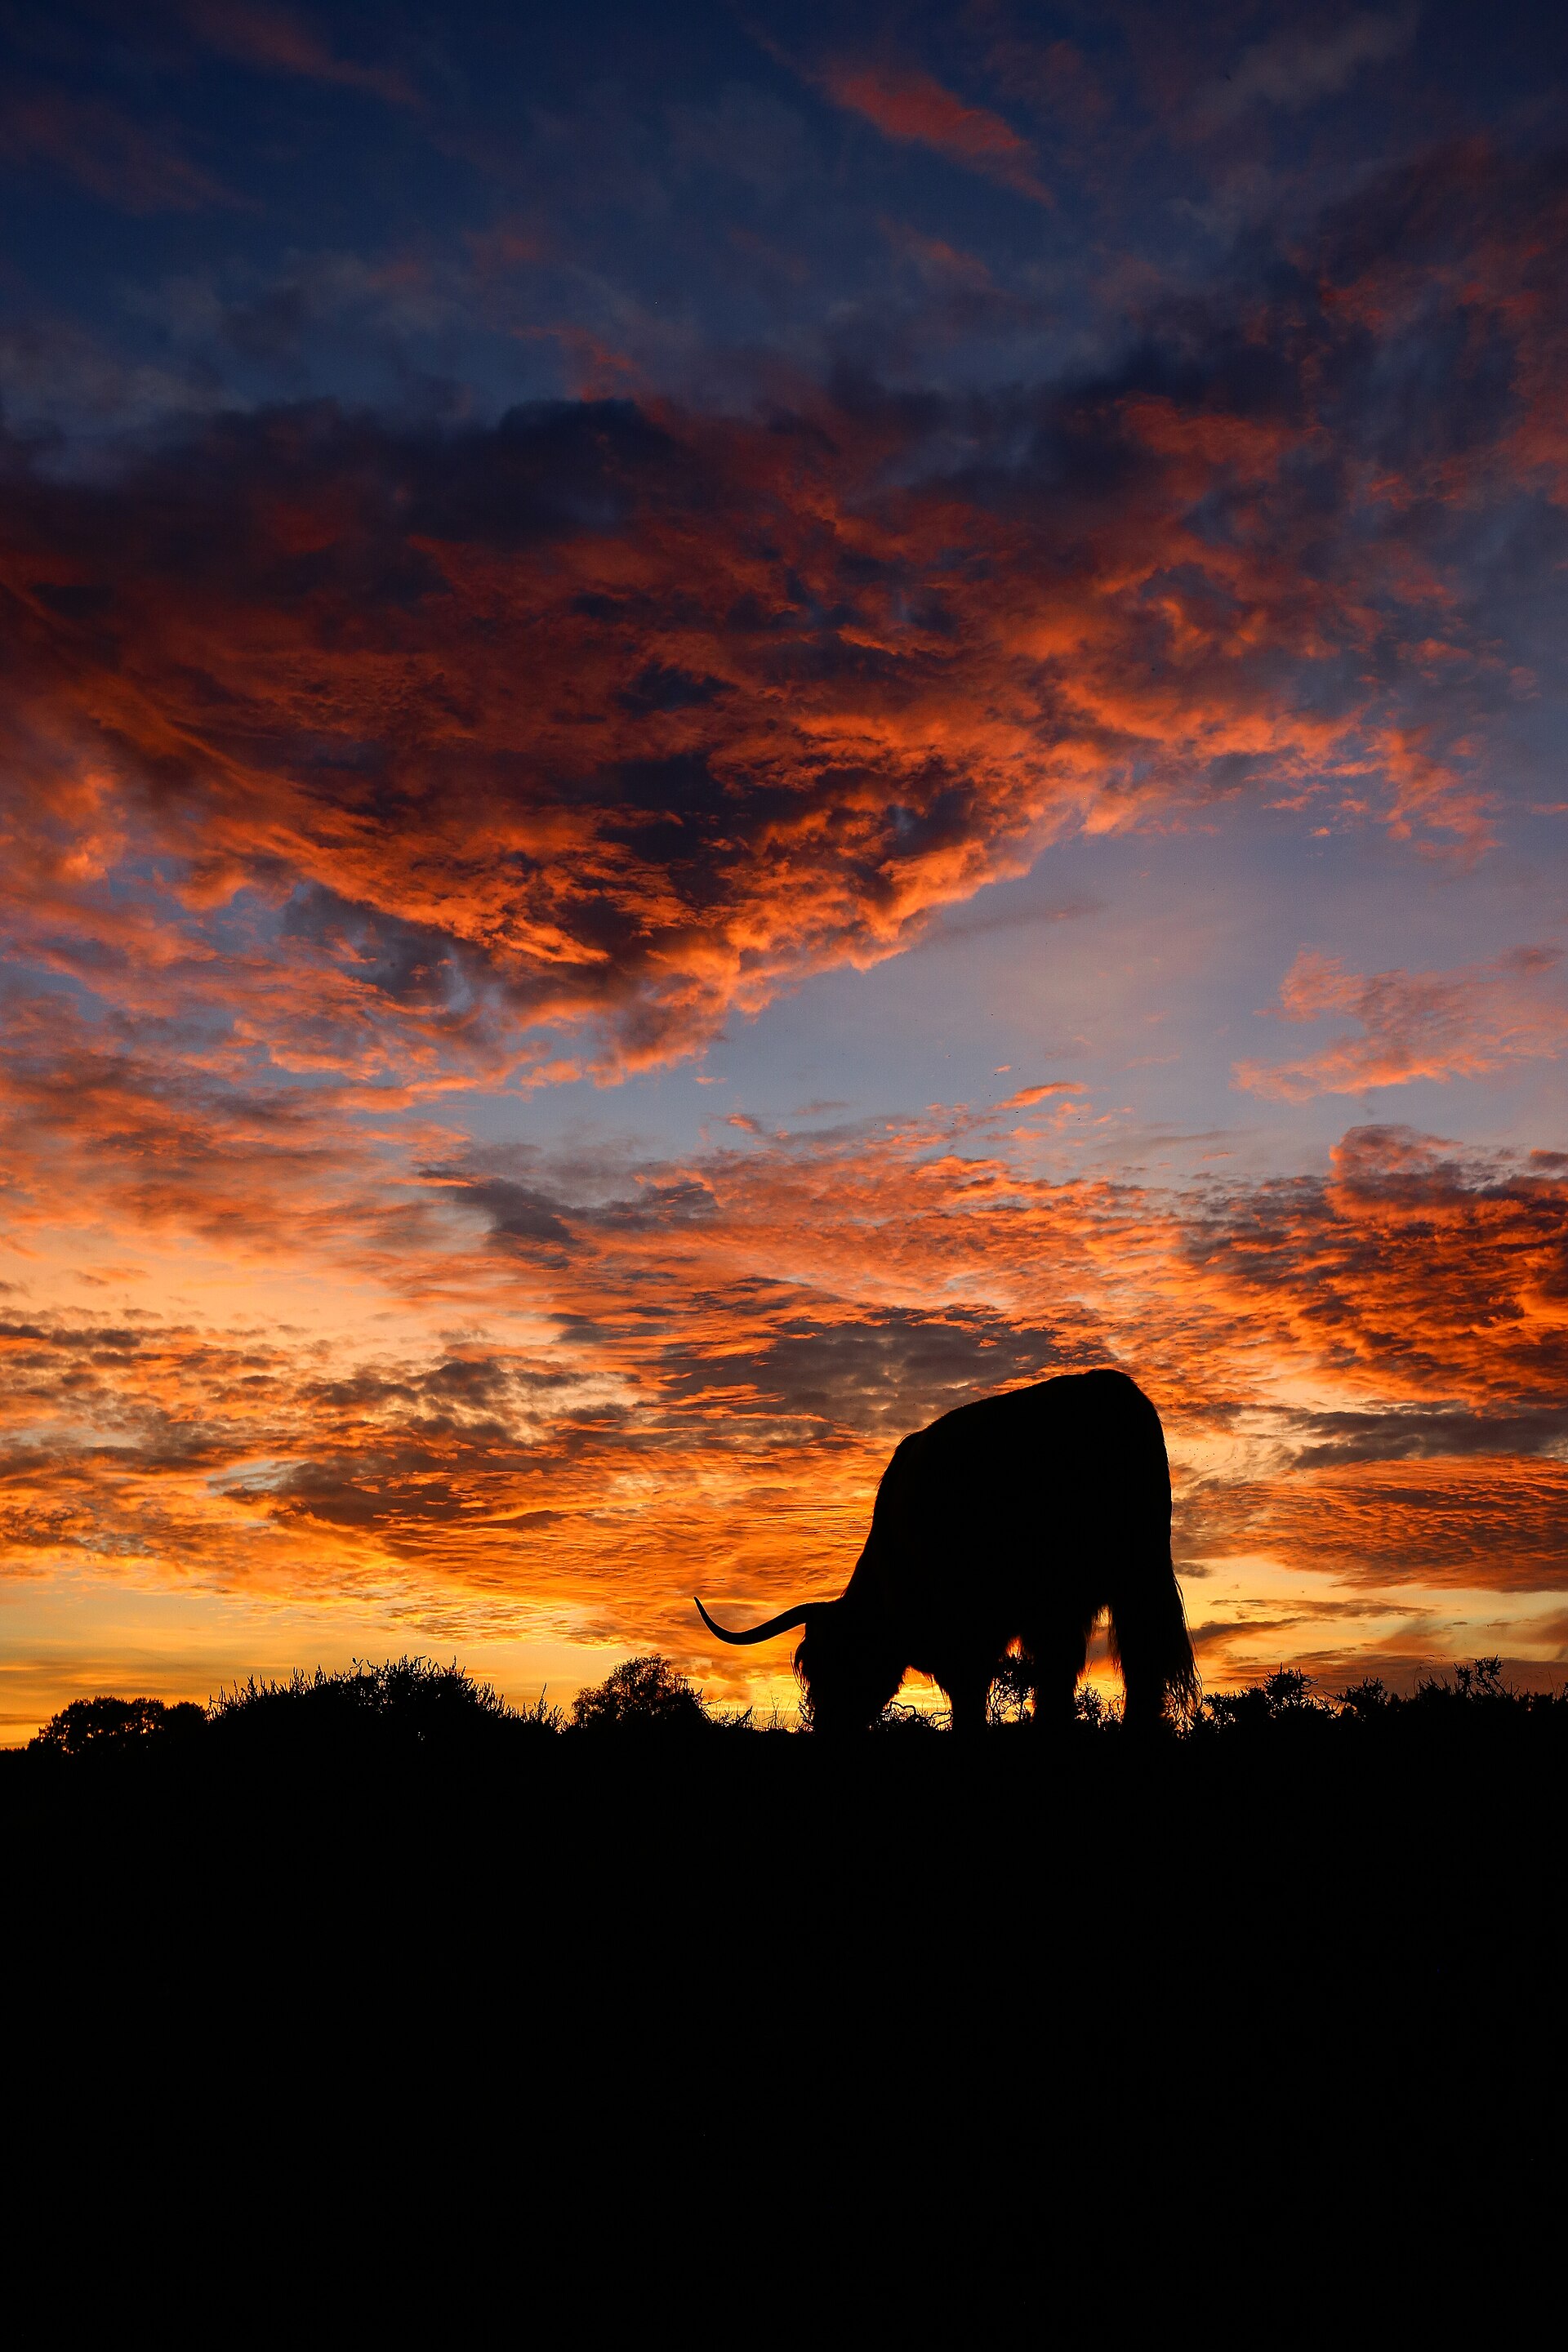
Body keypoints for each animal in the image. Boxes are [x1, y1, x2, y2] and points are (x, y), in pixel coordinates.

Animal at [695, 1368, 1198, 1733]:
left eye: (832, 1663)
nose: (829, 1728)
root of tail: (1114, 1390)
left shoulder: (969, 1632)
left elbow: (970, 1699)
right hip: (1132, 1578)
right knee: (1135, 1658)